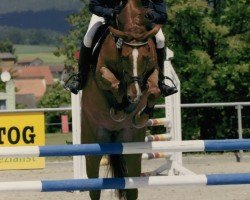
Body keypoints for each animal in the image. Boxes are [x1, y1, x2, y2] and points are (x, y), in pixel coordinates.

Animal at [80, 0, 162, 199]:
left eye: (145, 56)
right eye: (124, 57)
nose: (135, 95)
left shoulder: (154, 71)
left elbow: (154, 89)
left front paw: (141, 114)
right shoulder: (101, 71)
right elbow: (114, 83)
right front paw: (119, 109)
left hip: (132, 148)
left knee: (132, 188)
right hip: (92, 143)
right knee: (94, 187)